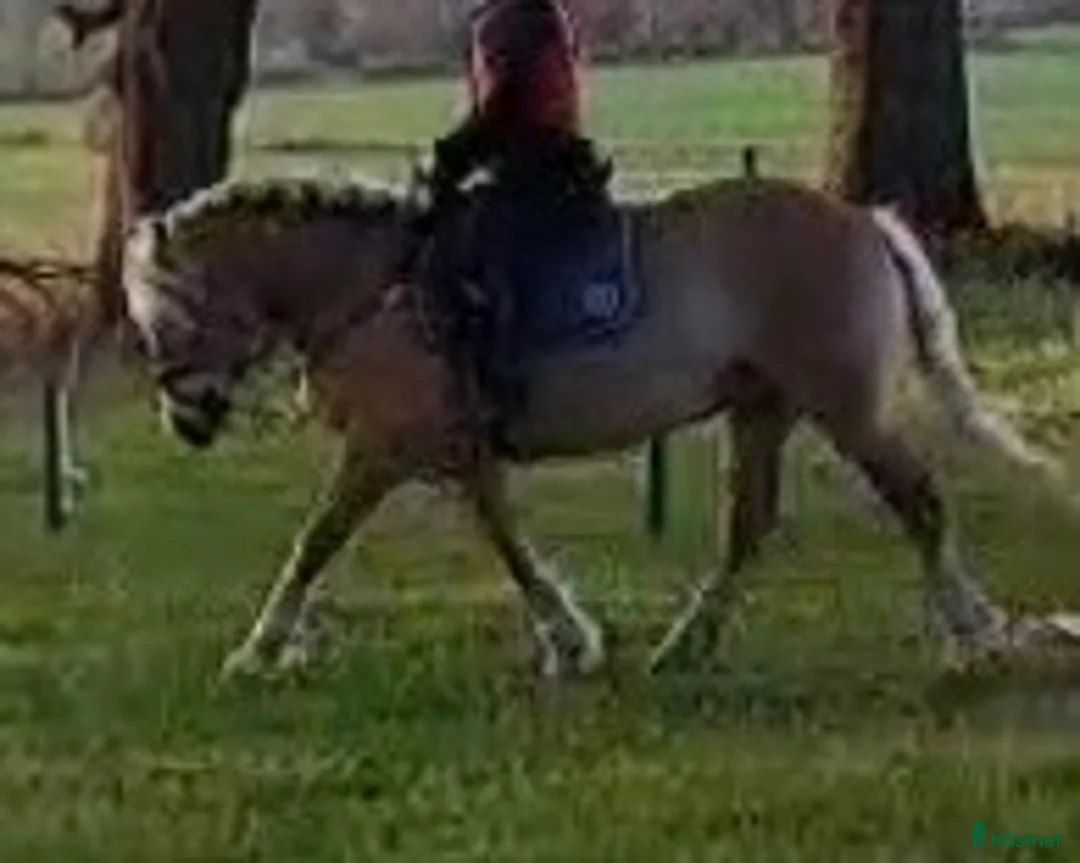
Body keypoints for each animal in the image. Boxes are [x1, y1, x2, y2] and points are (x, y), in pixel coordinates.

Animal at [120, 174, 1070, 682]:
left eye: (168, 315)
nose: (185, 417)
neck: (373, 291)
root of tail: (859, 217)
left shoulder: (379, 451)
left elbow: (314, 543)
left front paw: (256, 650)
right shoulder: (459, 455)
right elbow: (508, 543)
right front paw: (571, 641)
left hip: (845, 406)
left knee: (920, 502)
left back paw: (973, 634)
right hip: (762, 408)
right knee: (749, 525)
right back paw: (685, 646)